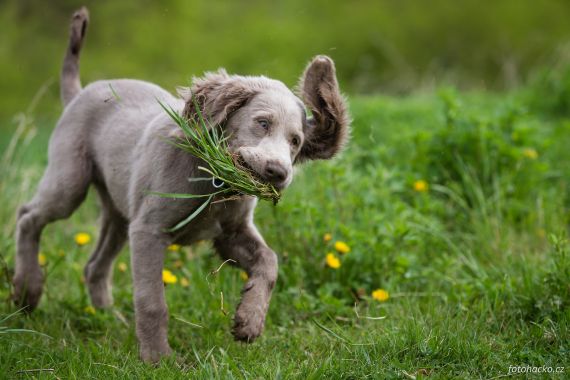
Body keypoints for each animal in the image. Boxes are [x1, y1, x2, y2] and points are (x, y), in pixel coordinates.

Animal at [13, 5, 348, 362]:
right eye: (262, 123)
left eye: (296, 142)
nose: (278, 172)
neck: (214, 182)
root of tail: (80, 93)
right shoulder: (149, 230)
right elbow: (152, 300)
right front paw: (159, 359)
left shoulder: (230, 232)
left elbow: (269, 260)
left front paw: (250, 320)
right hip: (70, 181)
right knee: (28, 217)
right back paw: (26, 291)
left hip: (120, 212)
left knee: (95, 265)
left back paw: (107, 319)